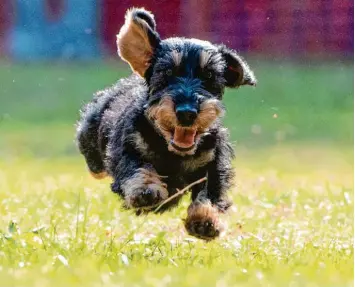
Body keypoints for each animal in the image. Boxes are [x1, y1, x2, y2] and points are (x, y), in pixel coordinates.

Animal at [77, 7, 256, 241]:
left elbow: (210, 192)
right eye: (167, 73)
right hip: (92, 150)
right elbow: (137, 167)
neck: (173, 151)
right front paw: (145, 190)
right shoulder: (127, 149)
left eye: (209, 75)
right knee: (96, 167)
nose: (187, 112)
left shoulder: (214, 163)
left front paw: (205, 220)